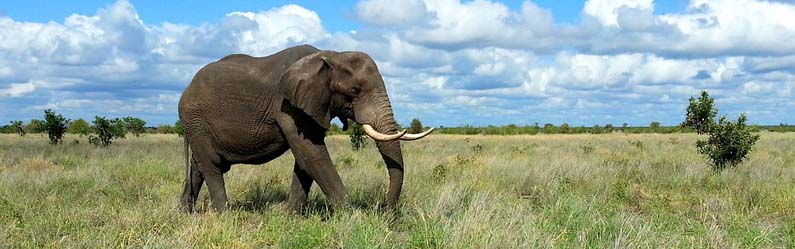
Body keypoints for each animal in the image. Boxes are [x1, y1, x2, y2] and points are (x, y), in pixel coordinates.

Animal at [179, 44, 436, 212]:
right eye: (355, 90)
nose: (385, 211)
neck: (331, 56)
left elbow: (305, 159)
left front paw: (291, 216)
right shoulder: (287, 105)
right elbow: (311, 153)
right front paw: (351, 217)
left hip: (197, 124)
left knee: (199, 168)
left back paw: (186, 214)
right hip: (195, 119)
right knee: (212, 167)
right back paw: (225, 215)